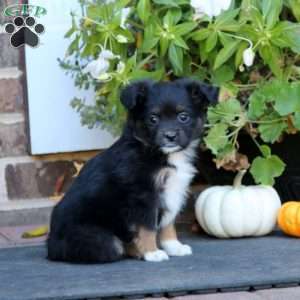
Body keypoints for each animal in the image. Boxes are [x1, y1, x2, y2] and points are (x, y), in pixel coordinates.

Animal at [48, 79, 219, 262]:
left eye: (183, 117)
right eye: (153, 119)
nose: (170, 136)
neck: (154, 151)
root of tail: (51, 246)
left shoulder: (172, 191)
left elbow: (168, 221)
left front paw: (173, 246)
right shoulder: (143, 195)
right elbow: (147, 226)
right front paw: (152, 252)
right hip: (103, 240)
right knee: (114, 246)